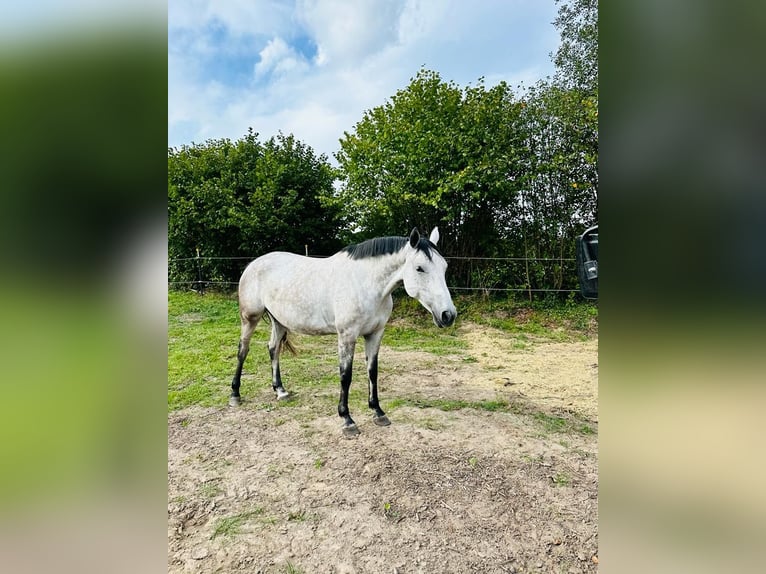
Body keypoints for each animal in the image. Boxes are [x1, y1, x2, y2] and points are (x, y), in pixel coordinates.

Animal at [228, 227, 456, 438]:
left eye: (444, 267)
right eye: (420, 268)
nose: (448, 315)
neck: (366, 283)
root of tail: (253, 264)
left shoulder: (375, 334)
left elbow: (372, 371)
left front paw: (378, 412)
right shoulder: (347, 336)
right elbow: (346, 376)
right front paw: (347, 420)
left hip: (280, 321)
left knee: (273, 349)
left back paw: (281, 391)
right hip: (250, 318)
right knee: (243, 351)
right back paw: (235, 394)